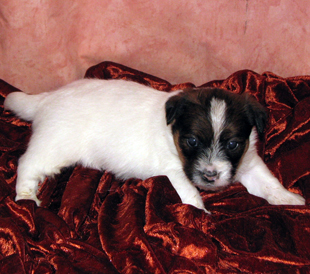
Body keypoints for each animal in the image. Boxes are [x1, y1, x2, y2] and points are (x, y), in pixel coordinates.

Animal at [4, 79, 306, 212]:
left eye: (232, 143)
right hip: (54, 146)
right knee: (27, 163)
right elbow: (190, 195)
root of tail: (46, 98)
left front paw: (292, 201)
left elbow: (269, 182)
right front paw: (199, 214)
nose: (210, 176)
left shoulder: (249, 161)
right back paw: (27, 197)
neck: (172, 133)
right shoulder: (174, 171)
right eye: (192, 141)